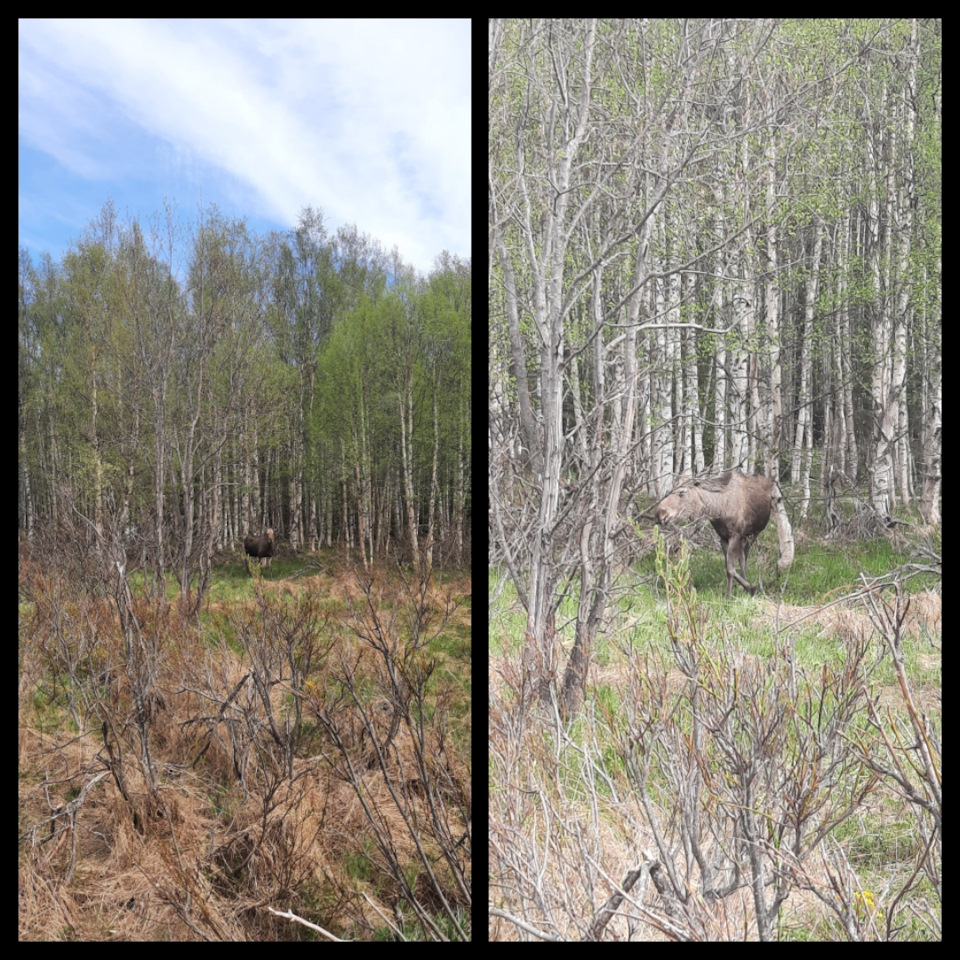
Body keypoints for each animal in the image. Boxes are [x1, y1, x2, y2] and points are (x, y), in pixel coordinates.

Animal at [652, 470, 796, 596]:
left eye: (681, 493)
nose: (659, 514)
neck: (717, 510)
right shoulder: (723, 537)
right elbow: (728, 567)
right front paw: (747, 587)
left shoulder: (735, 535)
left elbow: (731, 569)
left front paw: (732, 594)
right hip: (744, 537)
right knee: (742, 557)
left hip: (754, 533)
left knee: (745, 557)